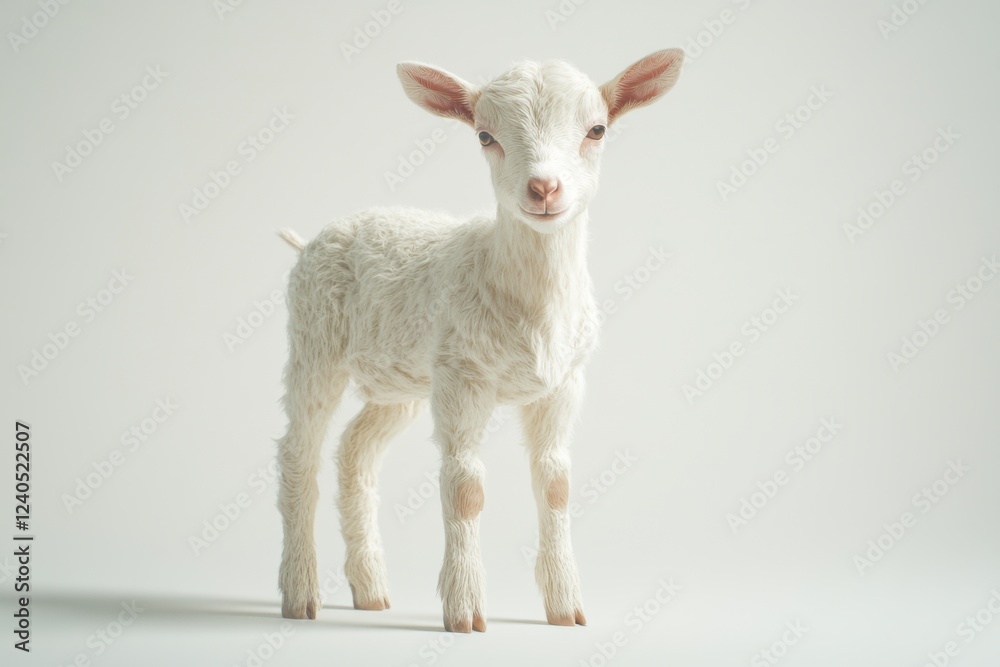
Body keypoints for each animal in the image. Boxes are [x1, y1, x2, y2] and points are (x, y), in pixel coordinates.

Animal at [275, 48, 684, 633]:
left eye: (597, 129)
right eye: (486, 136)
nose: (544, 188)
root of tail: (312, 238)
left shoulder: (563, 383)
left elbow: (556, 483)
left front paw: (565, 607)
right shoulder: (461, 374)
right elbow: (465, 488)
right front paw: (465, 609)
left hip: (398, 380)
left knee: (356, 452)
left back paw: (370, 590)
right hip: (314, 342)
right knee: (299, 454)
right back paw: (300, 593)